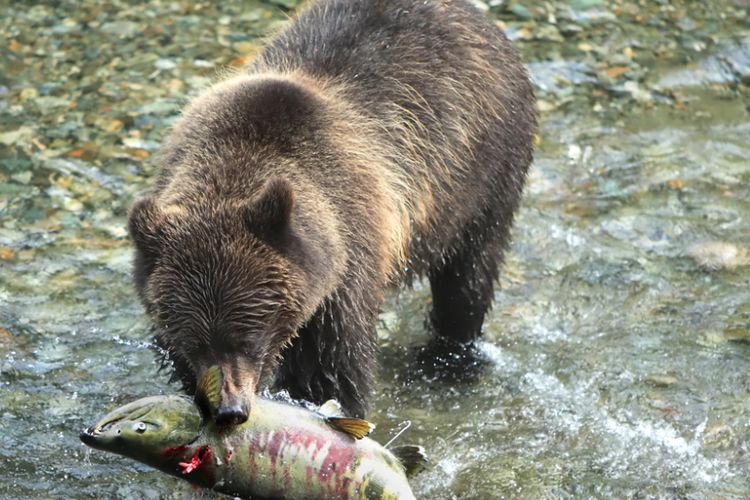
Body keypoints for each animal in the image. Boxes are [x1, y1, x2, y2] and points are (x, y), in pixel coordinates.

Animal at [131, 0, 540, 424]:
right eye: (194, 340)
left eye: (249, 336)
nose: (230, 409)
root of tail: (476, 16)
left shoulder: (346, 261)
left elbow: (331, 371)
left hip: (483, 172)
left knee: (468, 276)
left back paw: (451, 359)